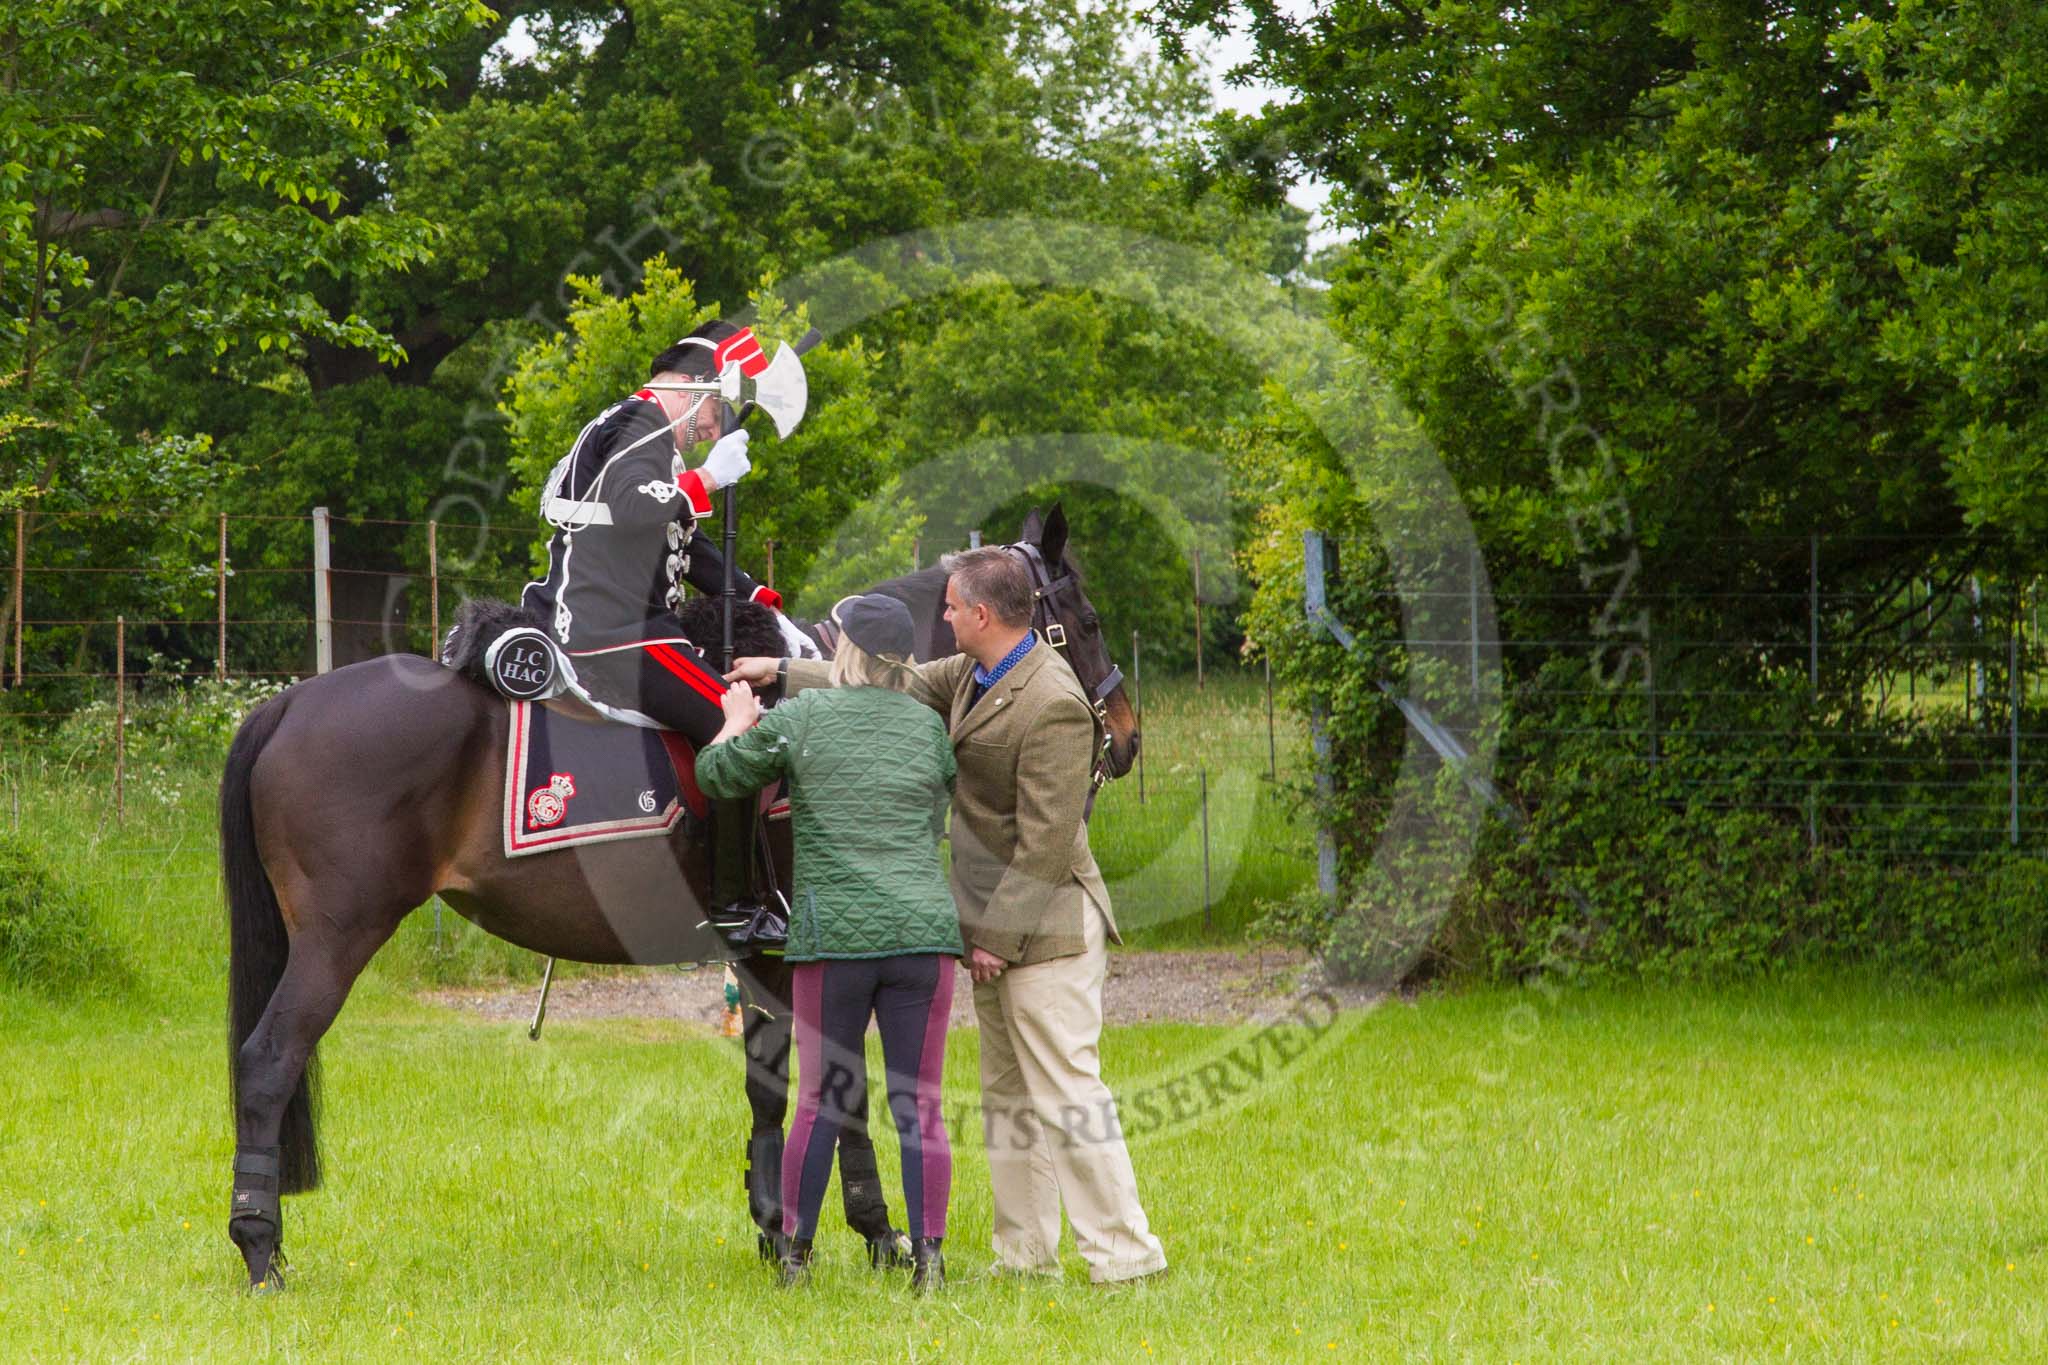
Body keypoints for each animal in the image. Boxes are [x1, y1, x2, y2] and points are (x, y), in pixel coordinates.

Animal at [224, 507, 1138, 1285]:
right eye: (1089, 621)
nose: (1123, 735)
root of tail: (291, 700)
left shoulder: (771, 955)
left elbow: (787, 1084)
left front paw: (789, 1226)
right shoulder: (808, 950)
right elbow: (824, 1085)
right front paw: (863, 1232)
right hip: (338, 936)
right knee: (267, 1061)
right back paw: (260, 1247)